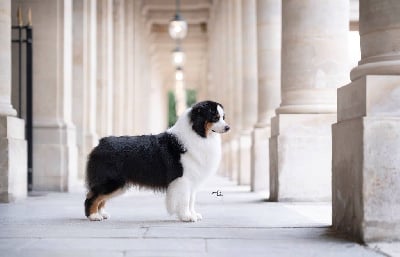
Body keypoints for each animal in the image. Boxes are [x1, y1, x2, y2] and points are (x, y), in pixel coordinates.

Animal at [84, 101, 228, 221]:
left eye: (223, 117)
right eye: (215, 117)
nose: (228, 127)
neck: (198, 134)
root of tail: (101, 142)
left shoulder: (192, 180)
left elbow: (191, 200)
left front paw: (193, 214)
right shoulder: (183, 180)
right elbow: (185, 200)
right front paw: (186, 217)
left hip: (117, 184)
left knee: (100, 198)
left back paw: (102, 213)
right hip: (112, 181)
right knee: (92, 197)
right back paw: (94, 216)